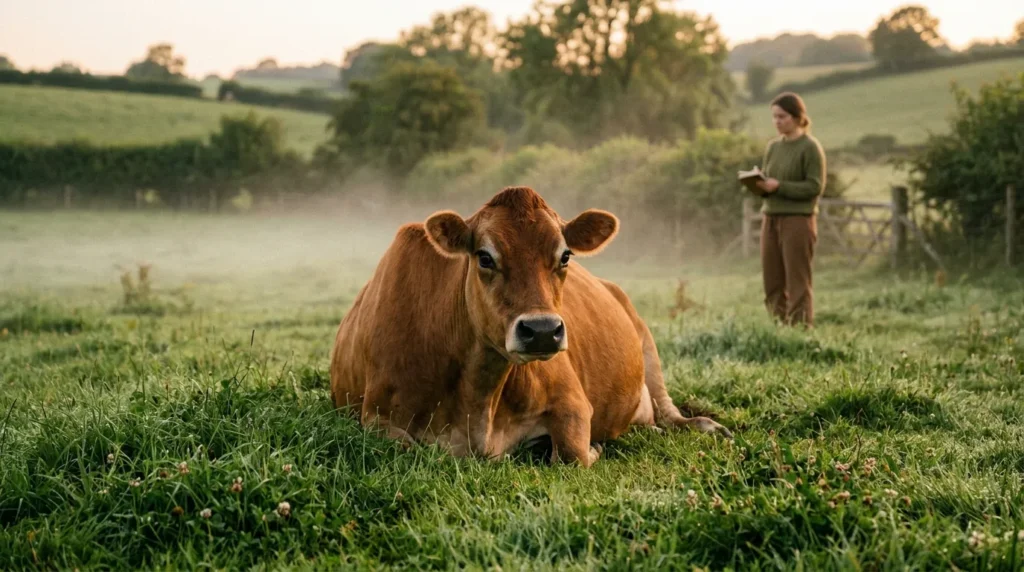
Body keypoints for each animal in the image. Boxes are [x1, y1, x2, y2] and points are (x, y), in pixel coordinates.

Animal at [329, 186, 731, 467]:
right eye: (485, 257)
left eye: (565, 255)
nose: (541, 330)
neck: (478, 398)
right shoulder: (375, 417)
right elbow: (407, 446)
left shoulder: (573, 402)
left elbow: (571, 456)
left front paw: (593, 447)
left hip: (647, 345)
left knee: (668, 409)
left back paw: (706, 426)